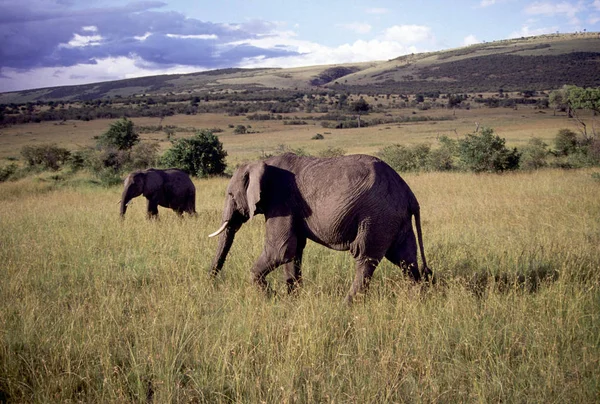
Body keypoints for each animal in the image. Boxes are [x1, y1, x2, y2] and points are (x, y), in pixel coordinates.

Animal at [207, 152, 432, 304]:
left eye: (230, 195)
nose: (210, 284)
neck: (263, 163)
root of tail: (409, 194)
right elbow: (293, 251)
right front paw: (292, 299)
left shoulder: (280, 201)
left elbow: (280, 250)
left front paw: (272, 297)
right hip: (396, 219)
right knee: (405, 259)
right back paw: (418, 299)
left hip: (377, 216)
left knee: (365, 257)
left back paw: (346, 305)